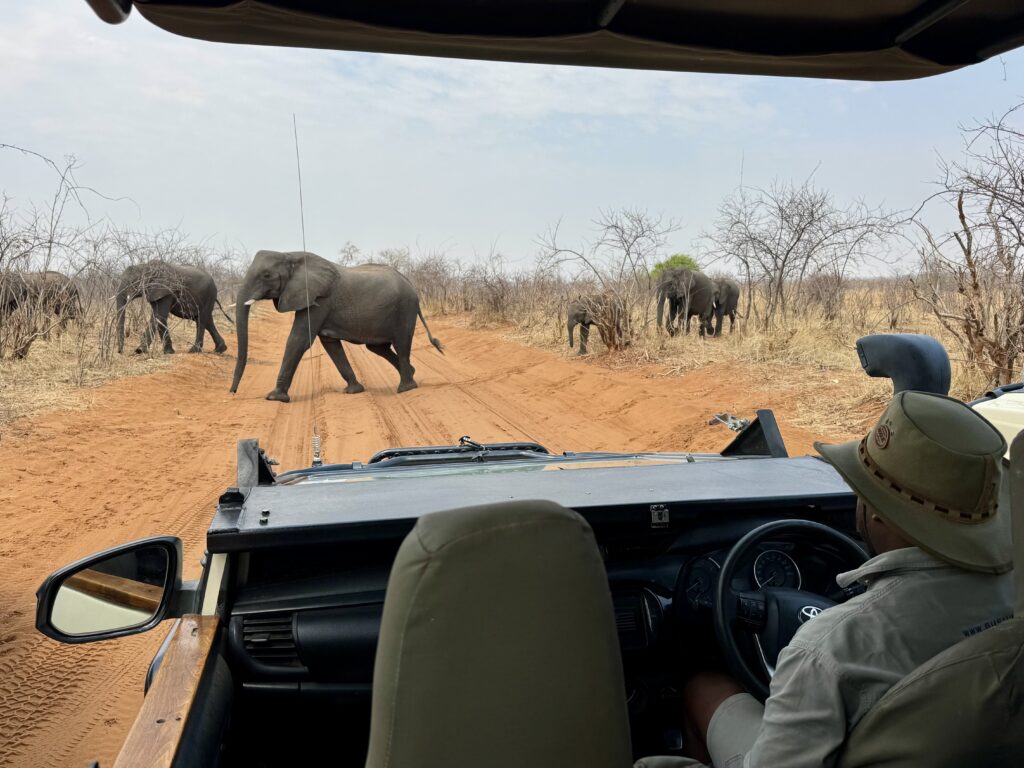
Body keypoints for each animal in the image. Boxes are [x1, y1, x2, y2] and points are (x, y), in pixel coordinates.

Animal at [229, 250, 444, 402]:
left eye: (266, 275)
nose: (232, 392)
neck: (289, 255)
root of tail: (411, 285)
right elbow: (331, 344)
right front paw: (353, 391)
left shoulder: (320, 299)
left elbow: (298, 340)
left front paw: (274, 398)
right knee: (378, 347)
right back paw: (411, 374)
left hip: (405, 309)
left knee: (401, 343)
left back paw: (406, 388)